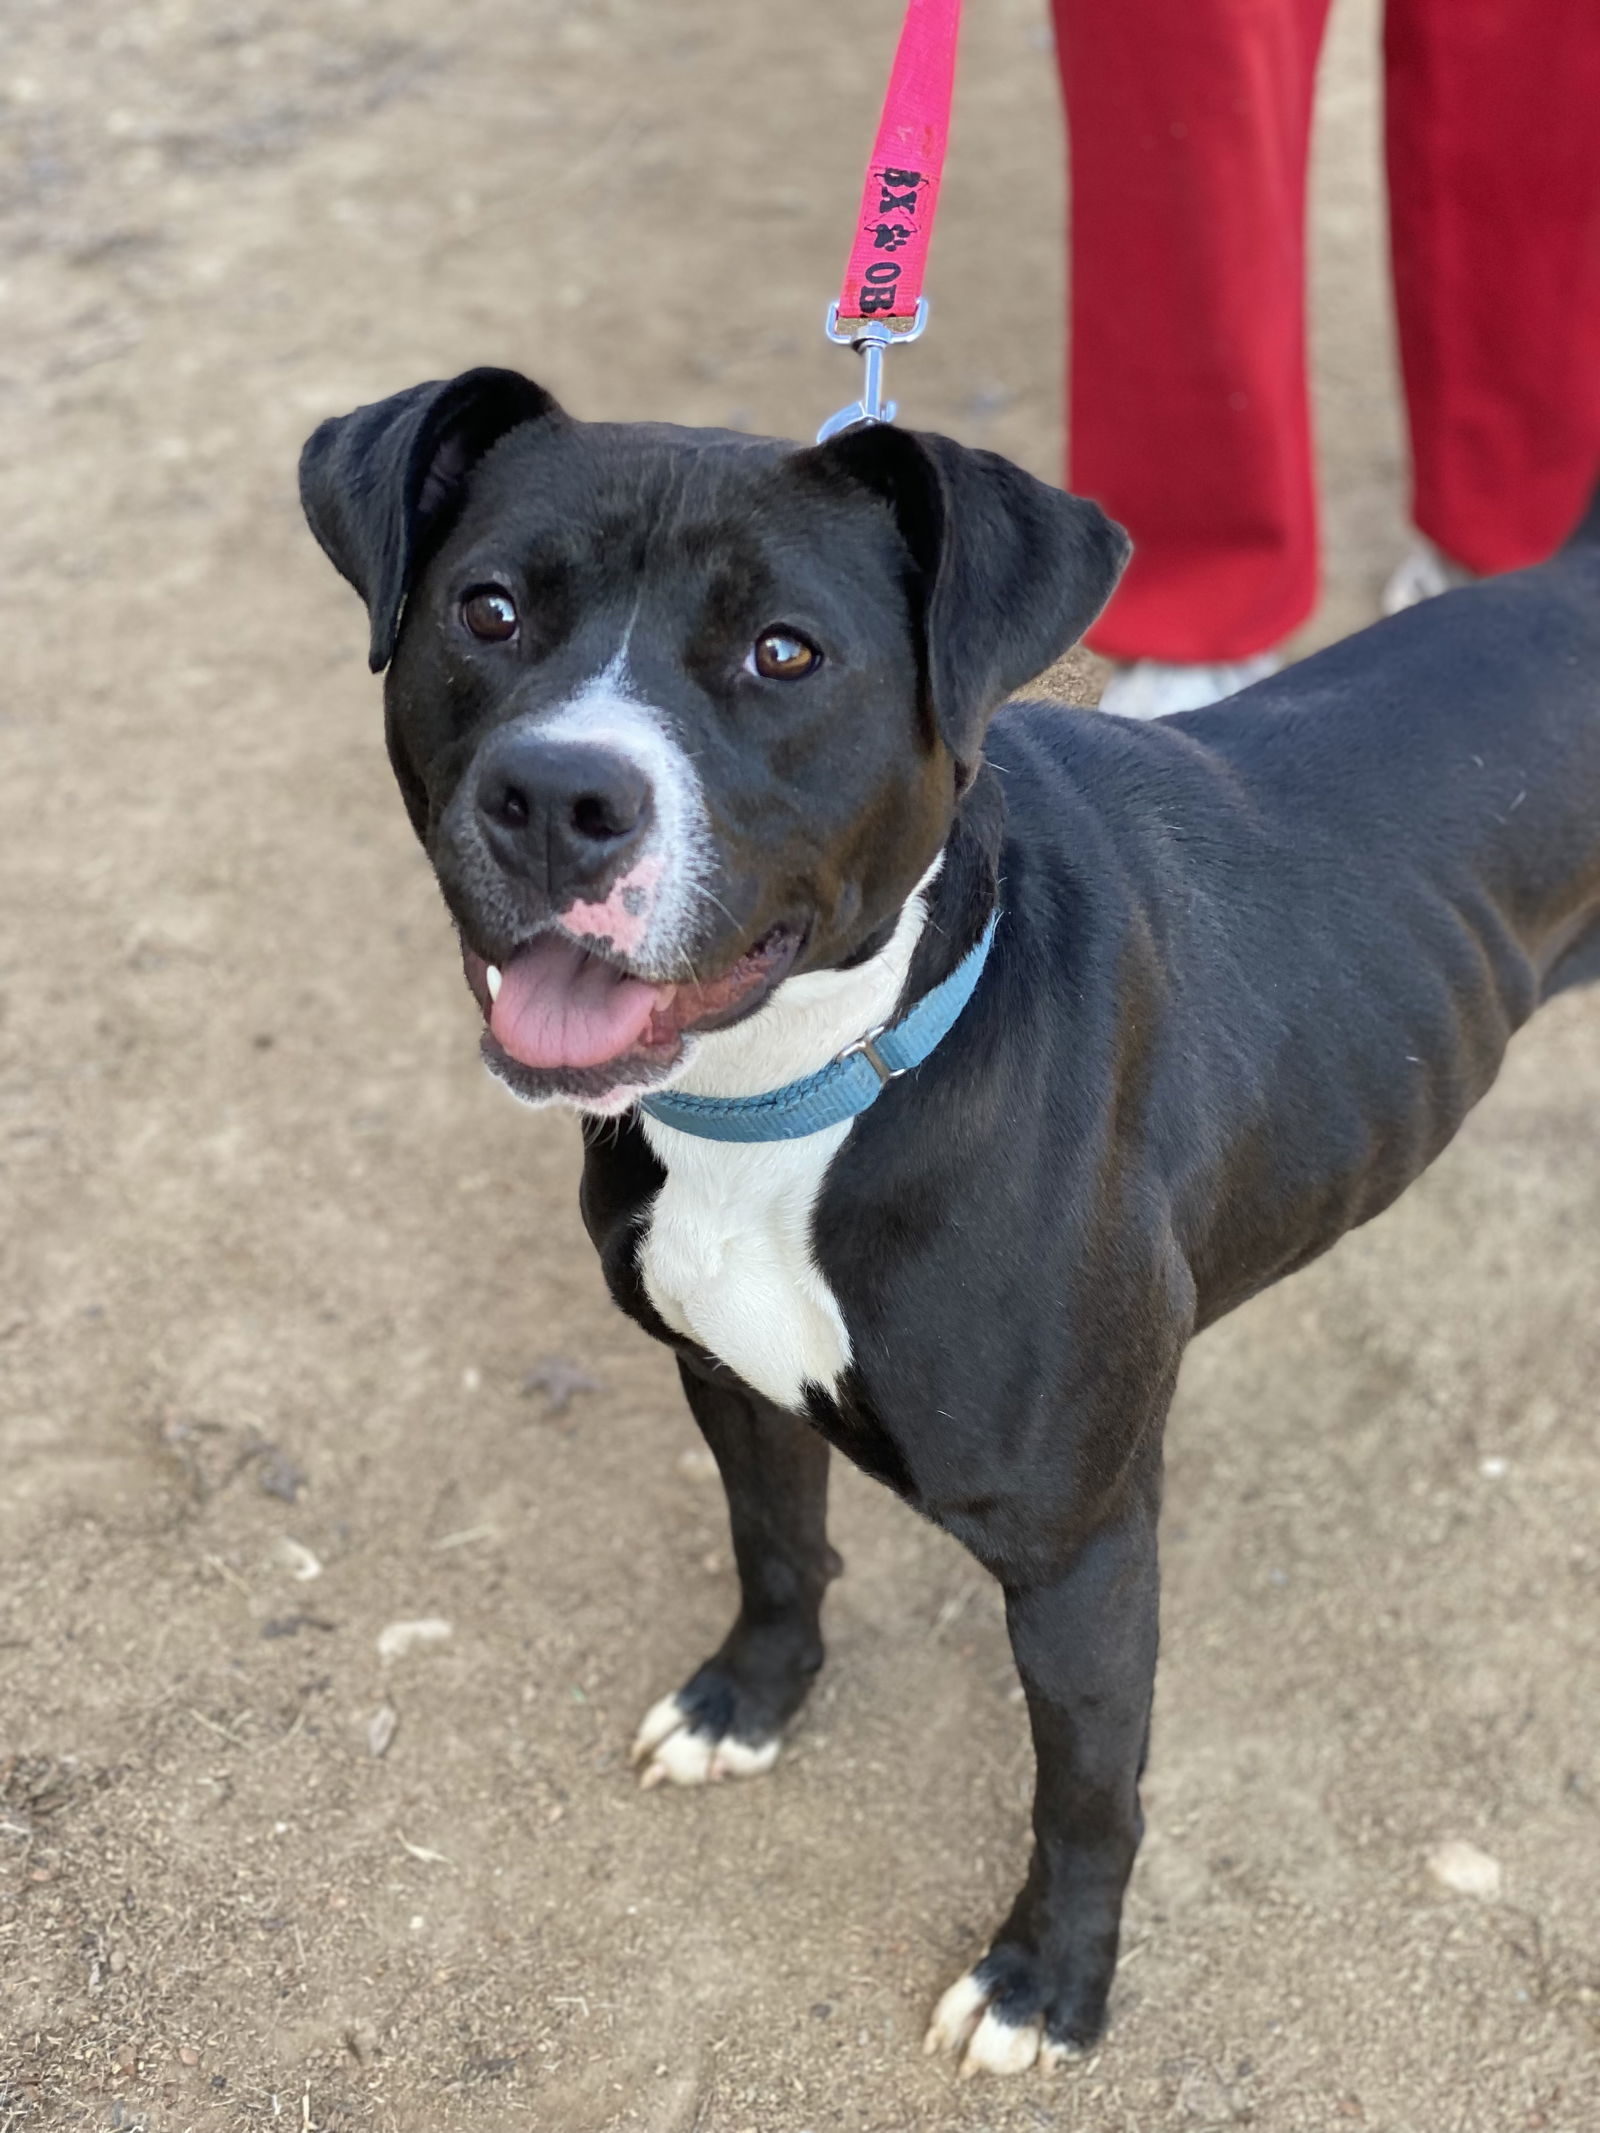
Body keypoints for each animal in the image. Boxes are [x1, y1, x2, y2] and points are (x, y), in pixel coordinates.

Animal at [302, 371, 1600, 2081]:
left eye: (786, 651)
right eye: (491, 609)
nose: (560, 797)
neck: (802, 1090)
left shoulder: (1082, 1548)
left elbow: (1088, 1787)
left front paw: (1049, 1980)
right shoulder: (723, 1377)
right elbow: (778, 1549)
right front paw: (748, 1704)